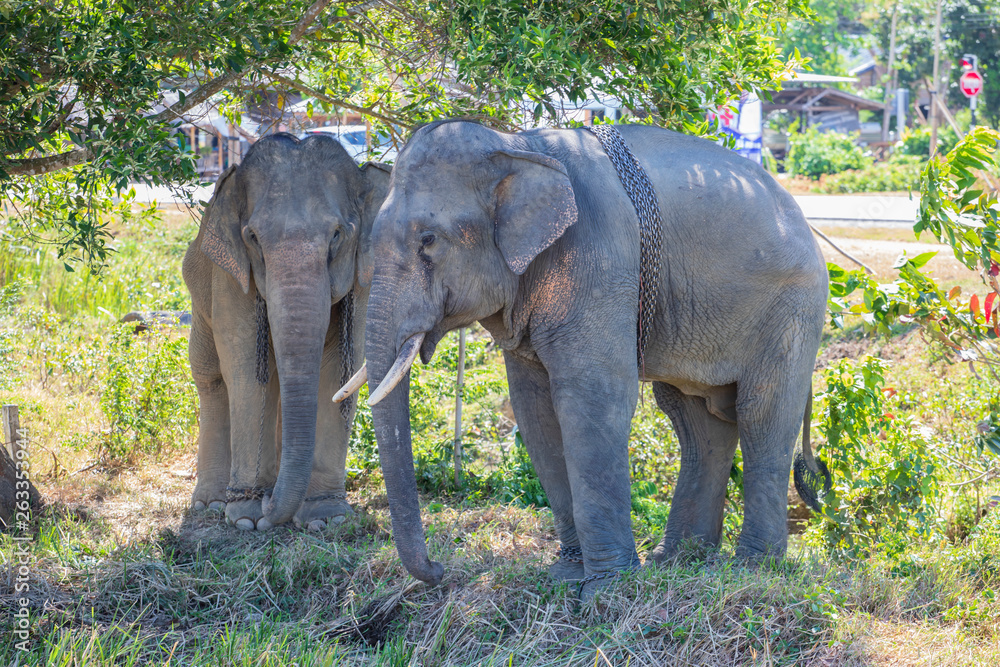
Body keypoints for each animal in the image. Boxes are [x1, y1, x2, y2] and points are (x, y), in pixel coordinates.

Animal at [183, 132, 390, 531]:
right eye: (252, 236)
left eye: (338, 235)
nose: (267, 504)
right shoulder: (231, 276)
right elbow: (246, 372)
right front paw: (247, 519)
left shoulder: (364, 278)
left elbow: (339, 369)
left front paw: (325, 518)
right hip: (199, 297)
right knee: (211, 377)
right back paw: (212, 503)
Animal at [342, 119, 828, 597]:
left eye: (428, 240)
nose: (440, 569)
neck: (517, 144)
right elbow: (534, 409)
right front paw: (566, 575)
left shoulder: (599, 258)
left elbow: (593, 397)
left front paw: (606, 590)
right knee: (696, 422)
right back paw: (679, 561)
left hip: (793, 308)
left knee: (762, 413)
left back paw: (754, 568)